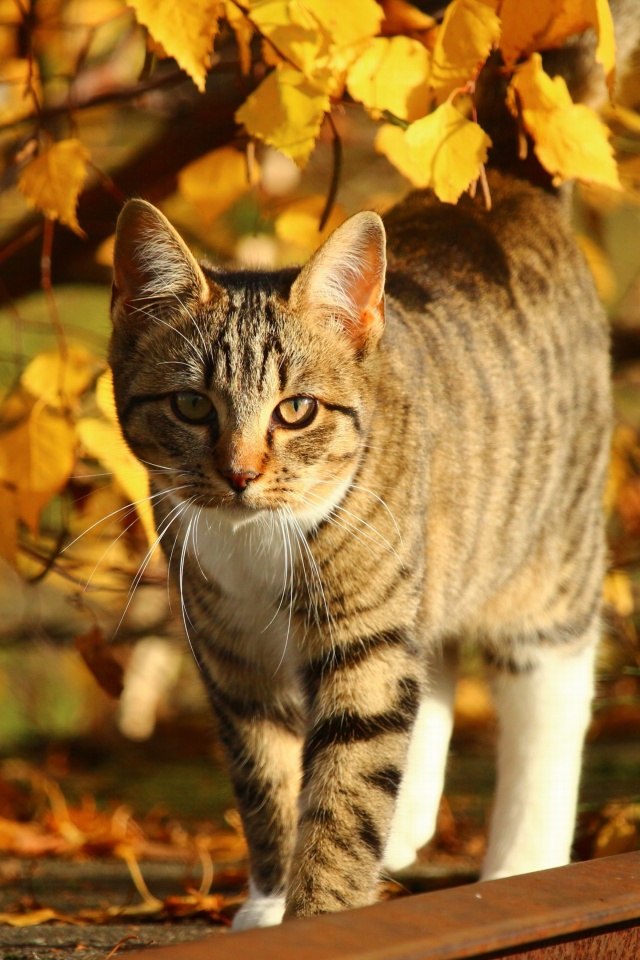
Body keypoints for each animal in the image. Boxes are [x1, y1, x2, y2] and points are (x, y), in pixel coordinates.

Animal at [107, 56, 616, 928]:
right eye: (192, 406)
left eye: (296, 410)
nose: (240, 473)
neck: (255, 541)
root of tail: (512, 186)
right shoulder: (231, 654)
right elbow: (268, 775)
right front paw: (271, 901)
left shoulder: (365, 628)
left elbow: (346, 786)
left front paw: (320, 912)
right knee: (431, 661)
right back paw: (408, 822)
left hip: (545, 555)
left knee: (548, 689)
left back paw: (523, 860)